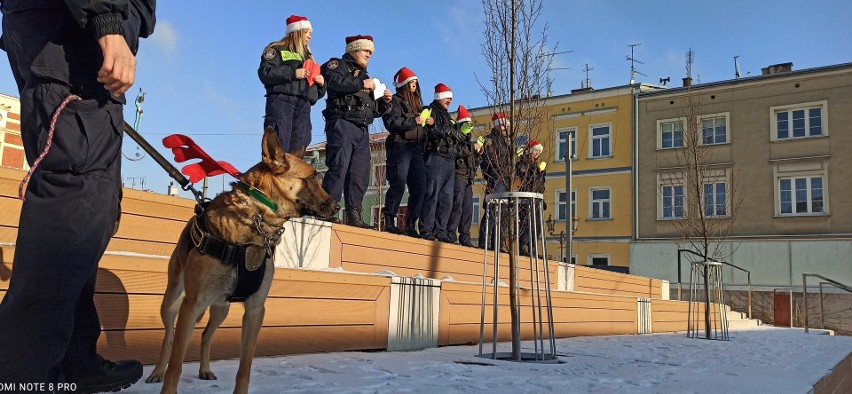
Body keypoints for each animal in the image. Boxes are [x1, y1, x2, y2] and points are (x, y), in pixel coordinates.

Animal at [145, 127, 338, 392]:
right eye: (311, 178)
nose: (337, 206)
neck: (254, 221)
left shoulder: (255, 311)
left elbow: (244, 367)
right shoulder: (192, 304)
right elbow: (175, 366)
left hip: (221, 308)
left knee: (206, 335)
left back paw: (204, 369)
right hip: (172, 302)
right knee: (170, 338)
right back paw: (157, 372)